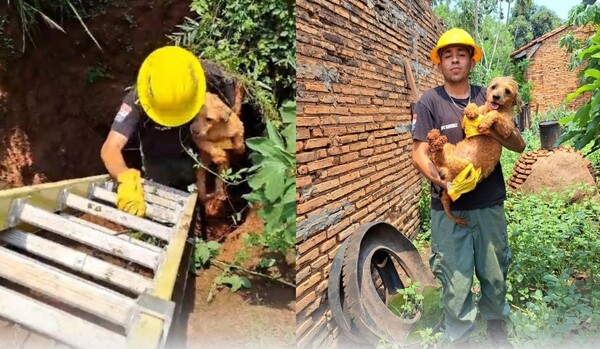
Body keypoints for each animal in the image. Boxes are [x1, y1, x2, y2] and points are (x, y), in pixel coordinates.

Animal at [191, 83, 245, 215]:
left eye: (209, 119)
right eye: (196, 115)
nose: (194, 130)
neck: (215, 129)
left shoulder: (238, 126)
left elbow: (238, 140)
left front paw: (239, 149)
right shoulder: (199, 140)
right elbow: (208, 145)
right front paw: (218, 155)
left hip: (223, 170)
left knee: (219, 180)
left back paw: (219, 194)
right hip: (202, 166)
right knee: (202, 181)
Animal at [426, 76, 520, 226]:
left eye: (507, 91)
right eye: (494, 86)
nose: (496, 97)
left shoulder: (507, 128)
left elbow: (495, 114)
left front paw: (484, 122)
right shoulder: (466, 122)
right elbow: (474, 105)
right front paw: (472, 111)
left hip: (464, 166)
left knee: (438, 157)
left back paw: (436, 140)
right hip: (453, 155)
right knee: (434, 155)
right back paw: (435, 137)